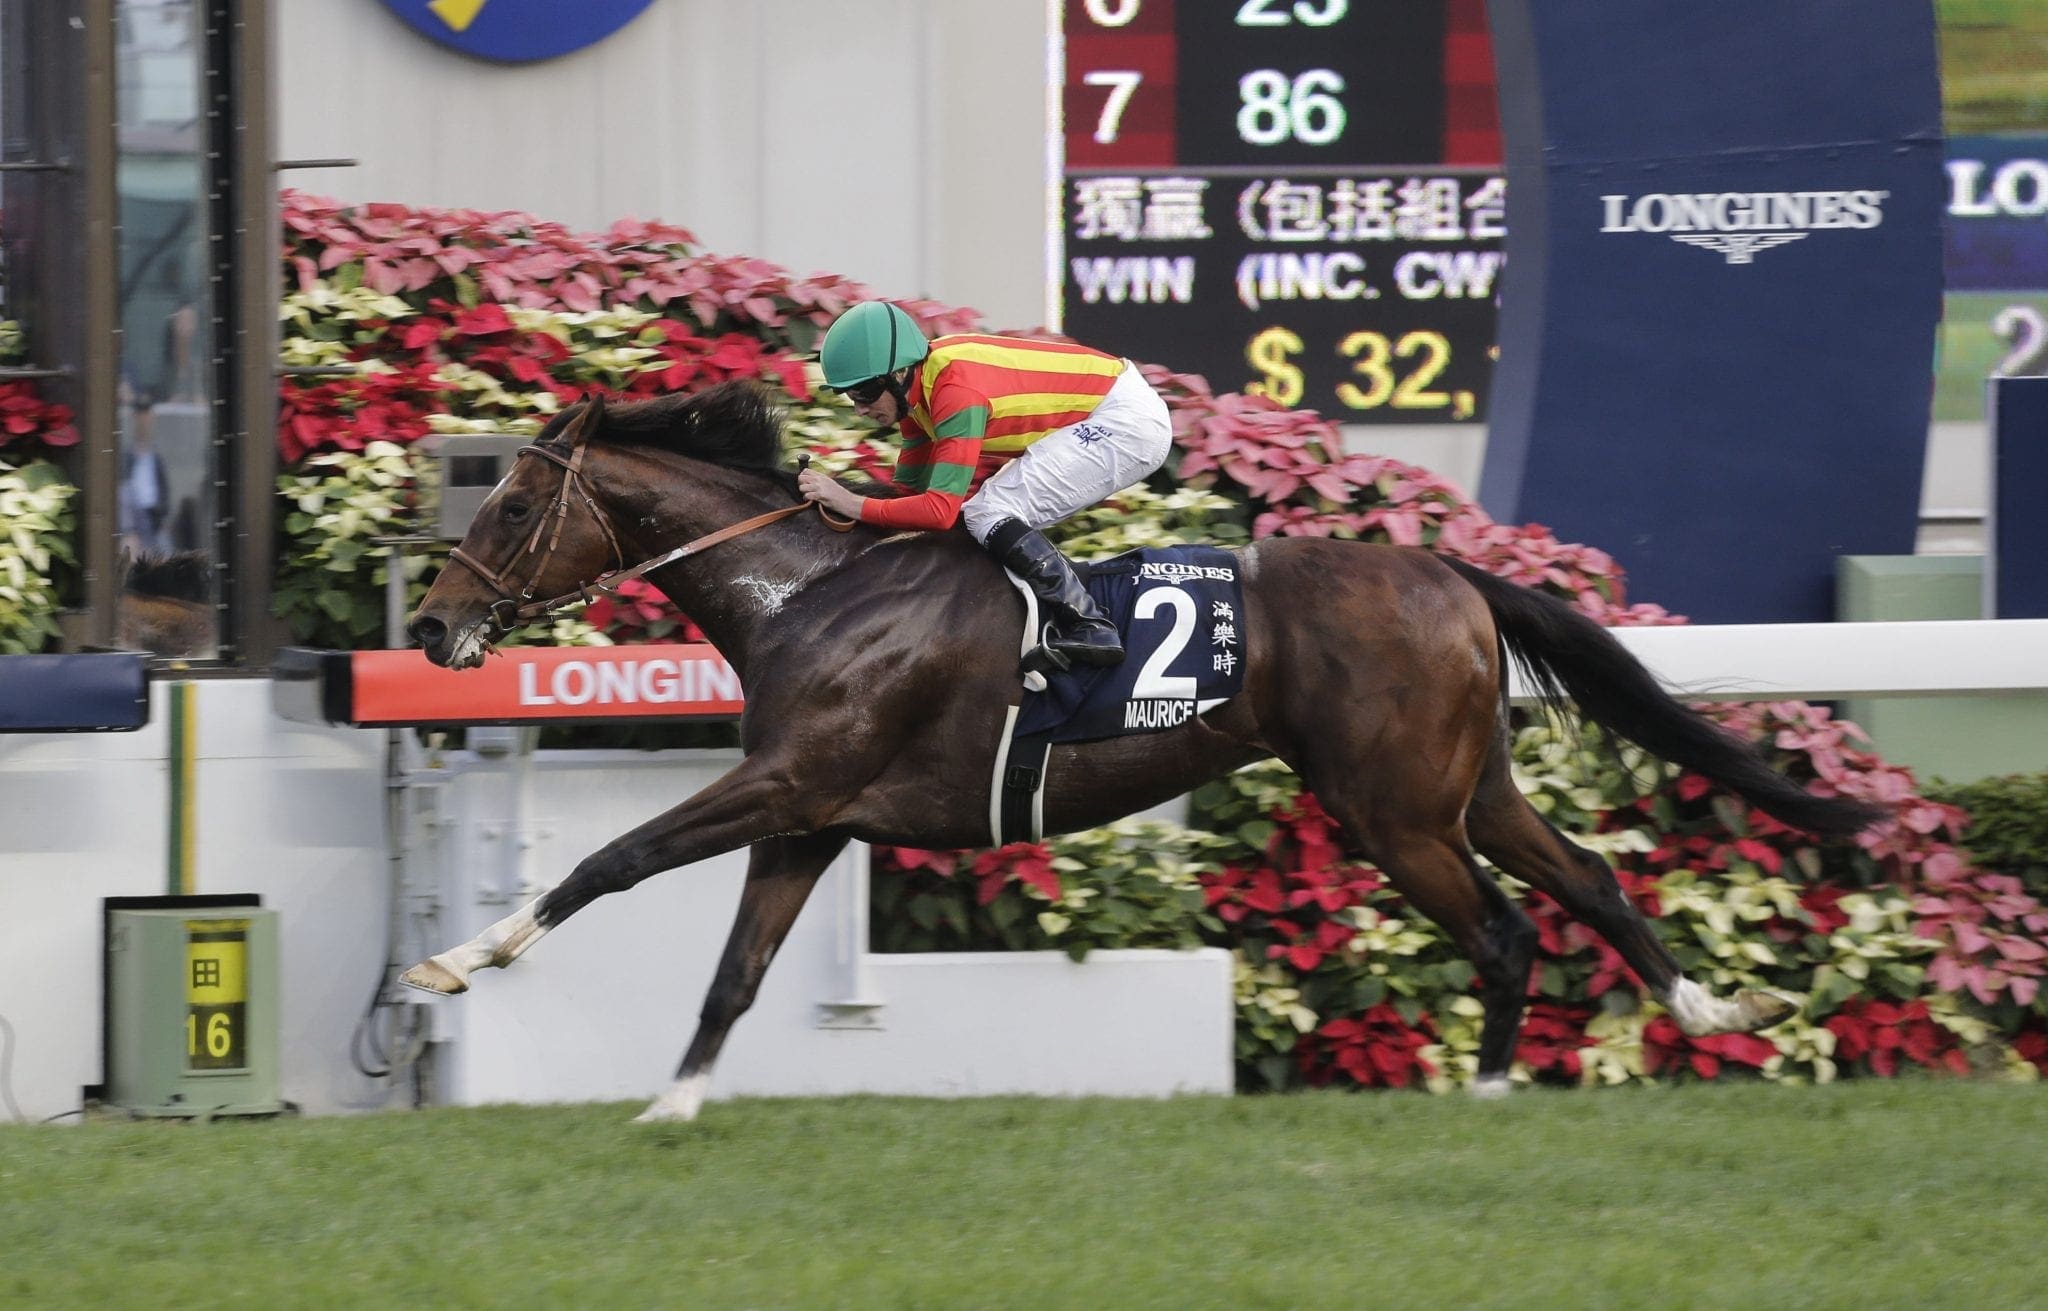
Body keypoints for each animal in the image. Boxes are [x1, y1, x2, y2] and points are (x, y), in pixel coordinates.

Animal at [399, 376, 1884, 1114]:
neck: (806, 593)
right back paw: (1707, 1010)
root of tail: (1450, 572)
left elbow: (609, 860)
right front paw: (673, 1107)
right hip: (1464, 787)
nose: (432, 622)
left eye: (515, 500)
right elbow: (733, 974)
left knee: (1509, 928)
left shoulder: (783, 782)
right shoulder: (811, 818)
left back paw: (1492, 1089)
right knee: (1588, 877)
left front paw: (458, 959)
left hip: (1392, 811)